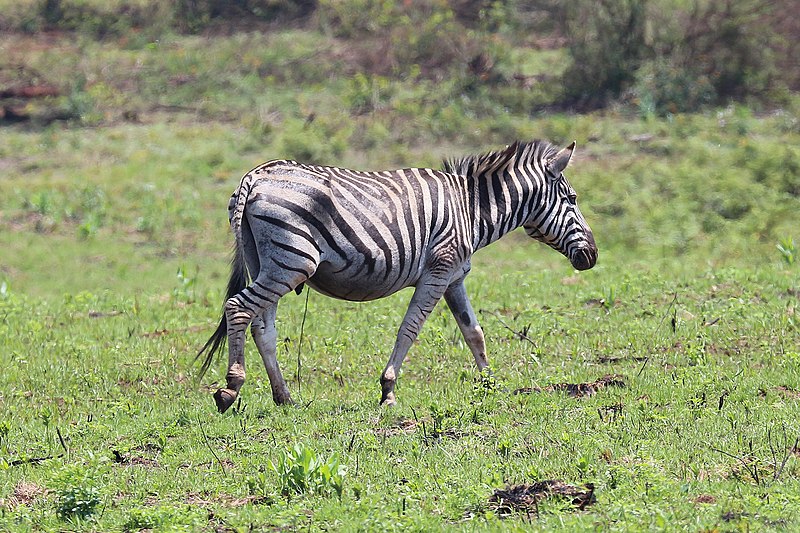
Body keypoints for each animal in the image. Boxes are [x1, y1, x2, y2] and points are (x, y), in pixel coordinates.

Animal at [198, 139, 597, 412]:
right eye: (573, 199)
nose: (592, 257)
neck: (470, 208)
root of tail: (255, 176)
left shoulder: (455, 278)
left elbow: (474, 333)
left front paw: (490, 384)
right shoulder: (438, 271)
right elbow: (410, 329)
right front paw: (388, 390)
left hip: (265, 262)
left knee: (262, 326)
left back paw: (284, 397)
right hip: (292, 261)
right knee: (238, 308)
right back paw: (231, 388)